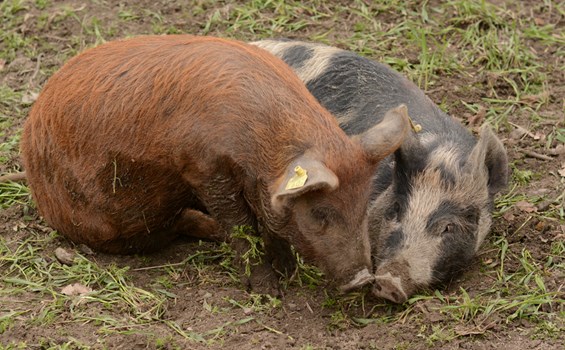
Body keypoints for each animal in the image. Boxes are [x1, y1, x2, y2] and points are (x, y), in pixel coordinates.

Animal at [20, 35, 410, 294]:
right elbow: (239, 225)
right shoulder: (203, 168)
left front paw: (288, 273)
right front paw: (268, 290)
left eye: (363, 207)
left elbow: (266, 219)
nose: (363, 279)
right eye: (319, 213)